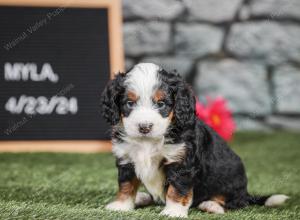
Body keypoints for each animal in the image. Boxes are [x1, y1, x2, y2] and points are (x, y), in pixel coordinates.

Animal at [101, 62, 288, 217]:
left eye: (161, 104)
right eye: (129, 103)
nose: (144, 127)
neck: (149, 141)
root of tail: (246, 193)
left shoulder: (181, 161)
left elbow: (177, 189)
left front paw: (173, 212)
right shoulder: (126, 158)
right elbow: (126, 184)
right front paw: (121, 206)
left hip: (231, 180)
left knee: (235, 202)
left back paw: (212, 205)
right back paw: (143, 197)